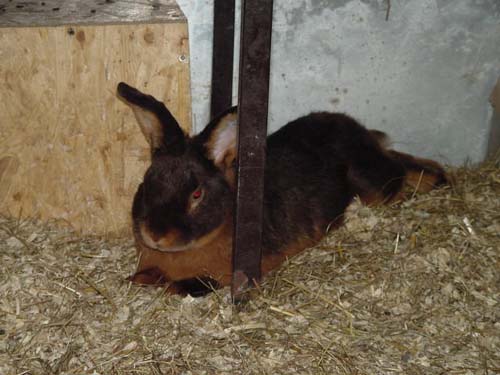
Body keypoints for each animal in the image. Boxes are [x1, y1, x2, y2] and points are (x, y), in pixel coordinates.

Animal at [117, 82, 450, 296]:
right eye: (147, 182)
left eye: (196, 194)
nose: (155, 235)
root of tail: (360, 131)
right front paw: (133, 279)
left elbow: (190, 286)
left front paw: (164, 285)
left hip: (375, 186)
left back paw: (438, 178)